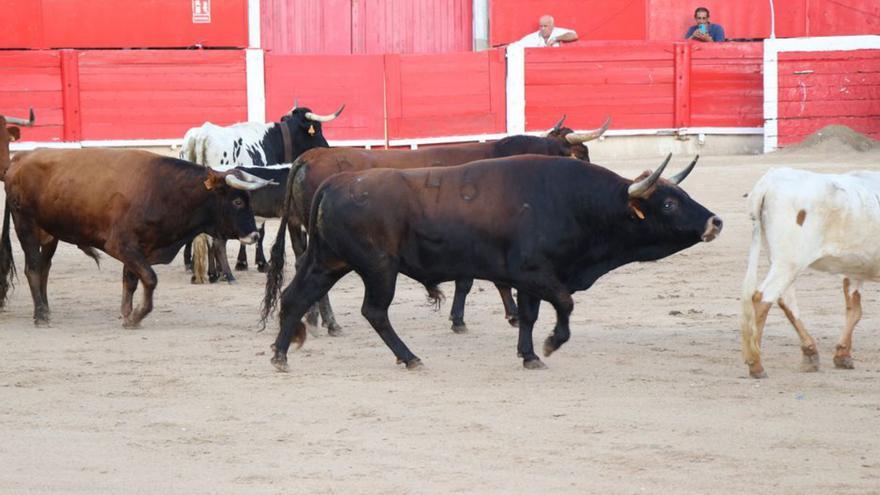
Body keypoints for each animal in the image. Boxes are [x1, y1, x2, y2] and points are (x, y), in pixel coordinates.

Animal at [0, 151, 274, 330]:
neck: (164, 190)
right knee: (33, 268)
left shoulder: (140, 249)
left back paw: (45, 309)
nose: (254, 235)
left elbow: (130, 281)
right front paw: (137, 315)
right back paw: (41, 316)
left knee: (45, 268)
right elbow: (150, 278)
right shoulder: (122, 246)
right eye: (237, 201)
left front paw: (127, 314)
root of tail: (20, 159)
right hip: (25, 225)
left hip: (50, 234)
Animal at [260, 155, 720, 372]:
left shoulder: (531, 281)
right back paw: (410, 357)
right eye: (668, 202)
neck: (576, 203)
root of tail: (336, 182)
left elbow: (531, 315)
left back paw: (280, 355)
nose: (715, 221)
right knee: (374, 311)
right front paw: (551, 344)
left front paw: (529, 354)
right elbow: (565, 304)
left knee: (295, 296)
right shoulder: (535, 273)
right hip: (377, 268)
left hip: (328, 260)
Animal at [270, 115, 612, 338]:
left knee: (304, 265)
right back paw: (328, 322)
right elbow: (475, 281)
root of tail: (310, 157)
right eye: (581, 154)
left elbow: (484, 279)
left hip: (305, 232)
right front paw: (476, 318)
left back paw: (315, 319)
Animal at [740, 169, 880, 378]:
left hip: (780, 261)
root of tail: (770, 180)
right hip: (788, 263)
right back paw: (756, 363)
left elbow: (854, 311)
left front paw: (843, 355)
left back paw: (810, 353)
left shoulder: (855, 269)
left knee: (785, 300)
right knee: (762, 298)